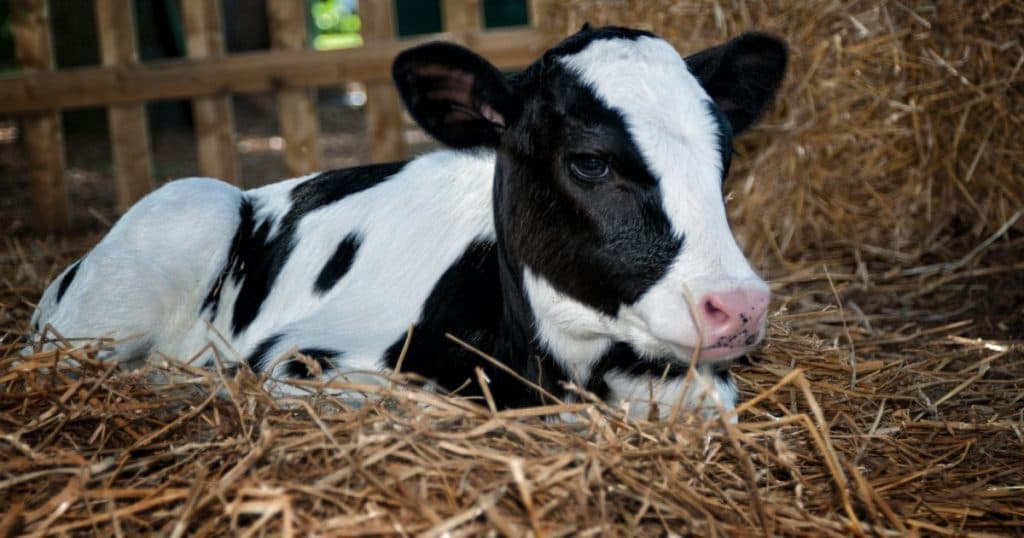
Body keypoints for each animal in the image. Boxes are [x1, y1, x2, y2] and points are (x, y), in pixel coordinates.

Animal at [29, 25, 787, 419]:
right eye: (591, 162)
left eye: (723, 154)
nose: (741, 306)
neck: (552, 366)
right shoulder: (300, 361)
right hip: (175, 226)